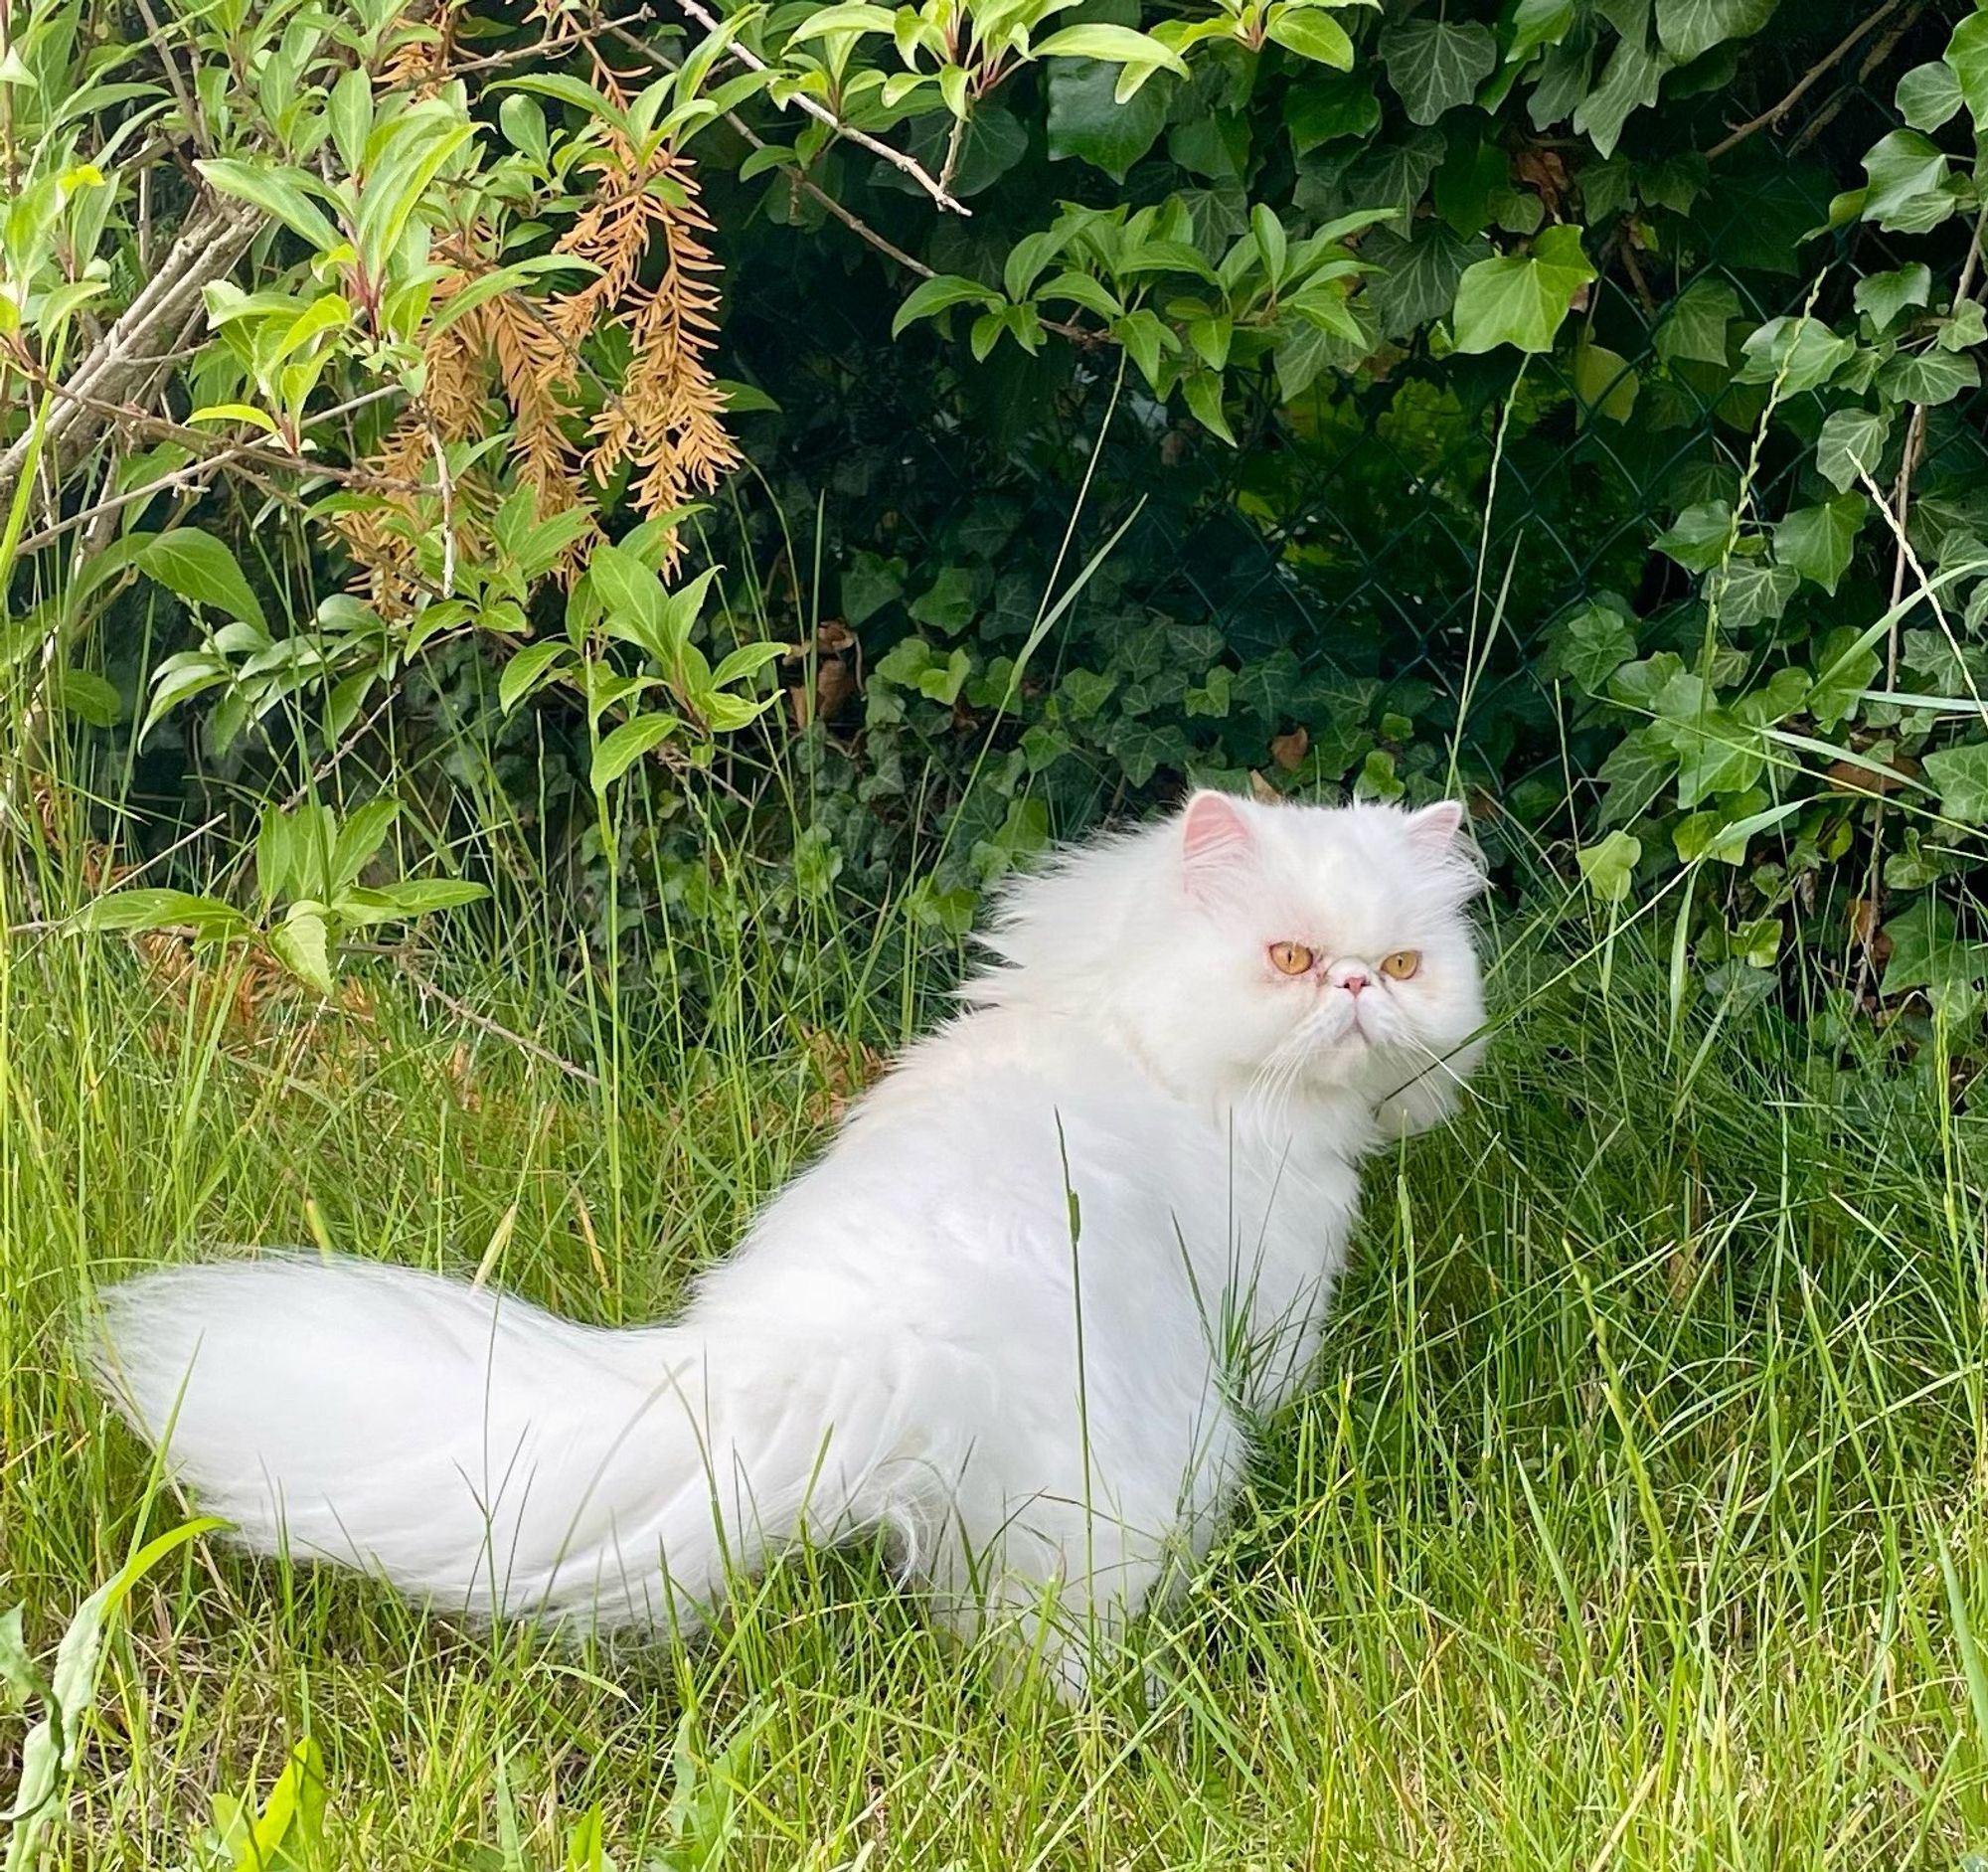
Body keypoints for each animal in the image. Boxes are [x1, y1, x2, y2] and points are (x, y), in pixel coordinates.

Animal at [96, 786, 1495, 1701]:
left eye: (1402, 965)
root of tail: (846, 1334)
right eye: (1289, 957)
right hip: (1119, 1506)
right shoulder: (1271, 1302)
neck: (1116, 1020)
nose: (1356, 992)